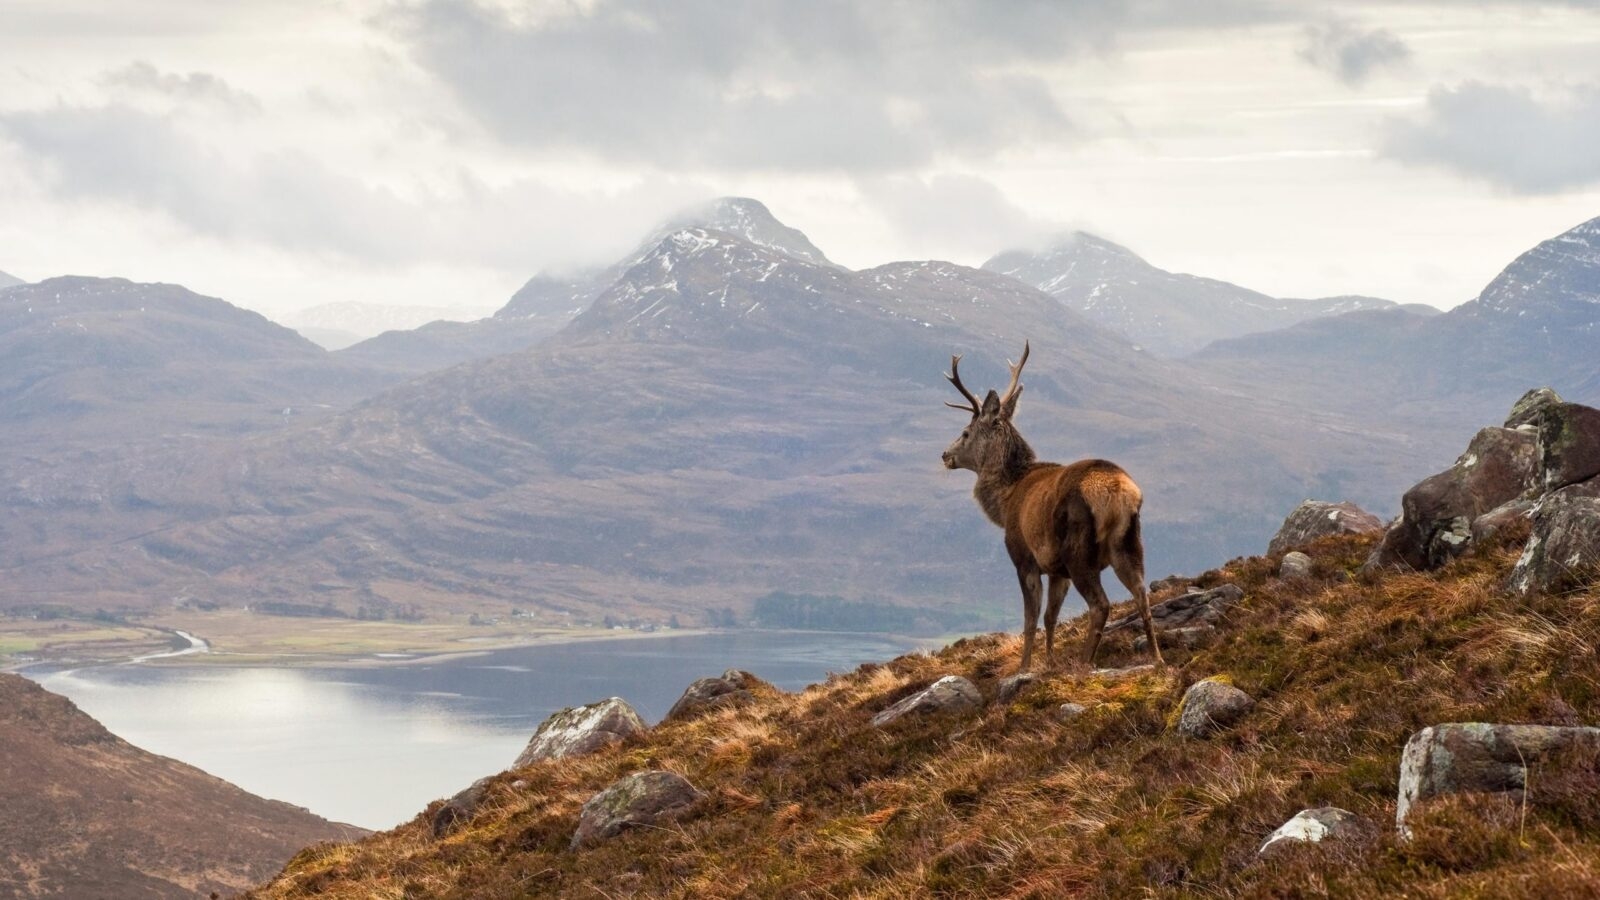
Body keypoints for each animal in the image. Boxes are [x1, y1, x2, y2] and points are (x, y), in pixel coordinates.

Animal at [940, 342, 1163, 672]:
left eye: (966, 432)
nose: (945, 455)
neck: (1004, 502)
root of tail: (1120, 493)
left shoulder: (1024, 557)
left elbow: (1030, 618)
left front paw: (1025, 667)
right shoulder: (1058, 571)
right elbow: (1050, 617)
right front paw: (1049, 662)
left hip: (1078, 549)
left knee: (1101, 604)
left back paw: (1084, 663)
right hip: (1129, 542)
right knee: (1142, 595)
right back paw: (1156, 658)